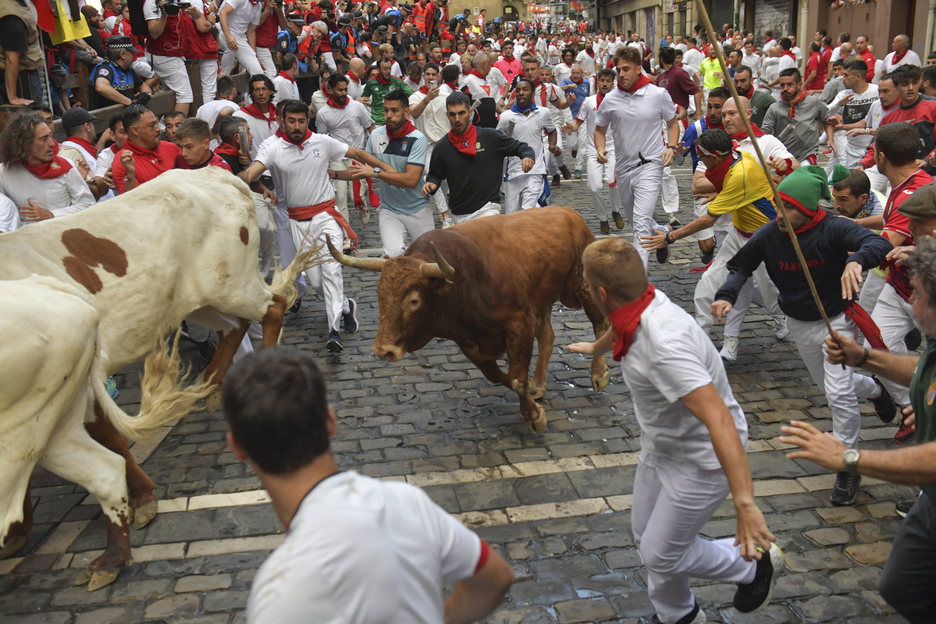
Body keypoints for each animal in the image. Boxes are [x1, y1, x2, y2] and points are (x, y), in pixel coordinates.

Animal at [330, 207, 616, 432]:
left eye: (413, 300)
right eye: (379, 294)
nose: (383, 350)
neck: (466, 280)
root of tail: (569, 213)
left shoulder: (519, 325)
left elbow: (516, 378)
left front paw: (534, 417)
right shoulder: (469, 343)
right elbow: (500, 377)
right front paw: (532, 400)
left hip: (582, 286)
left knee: (599, 324)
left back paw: (599, 374)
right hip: (542, 300)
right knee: (547, 336)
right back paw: (540, 384)